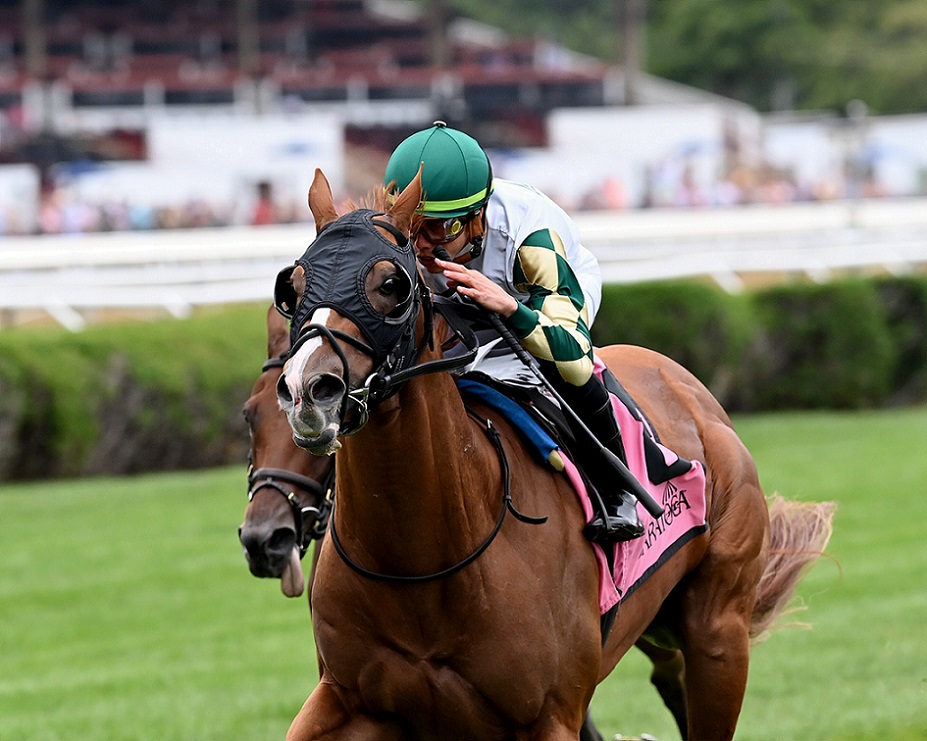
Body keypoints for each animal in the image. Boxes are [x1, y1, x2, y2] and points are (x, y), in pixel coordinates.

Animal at [273, 168, 834, 740]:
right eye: (291, 287)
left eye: (391, 285)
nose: (307, 391)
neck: (426, 564)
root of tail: (694, 393)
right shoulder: (350, 699)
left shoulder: (549, 715)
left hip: (719, 631)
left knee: (574, 360)